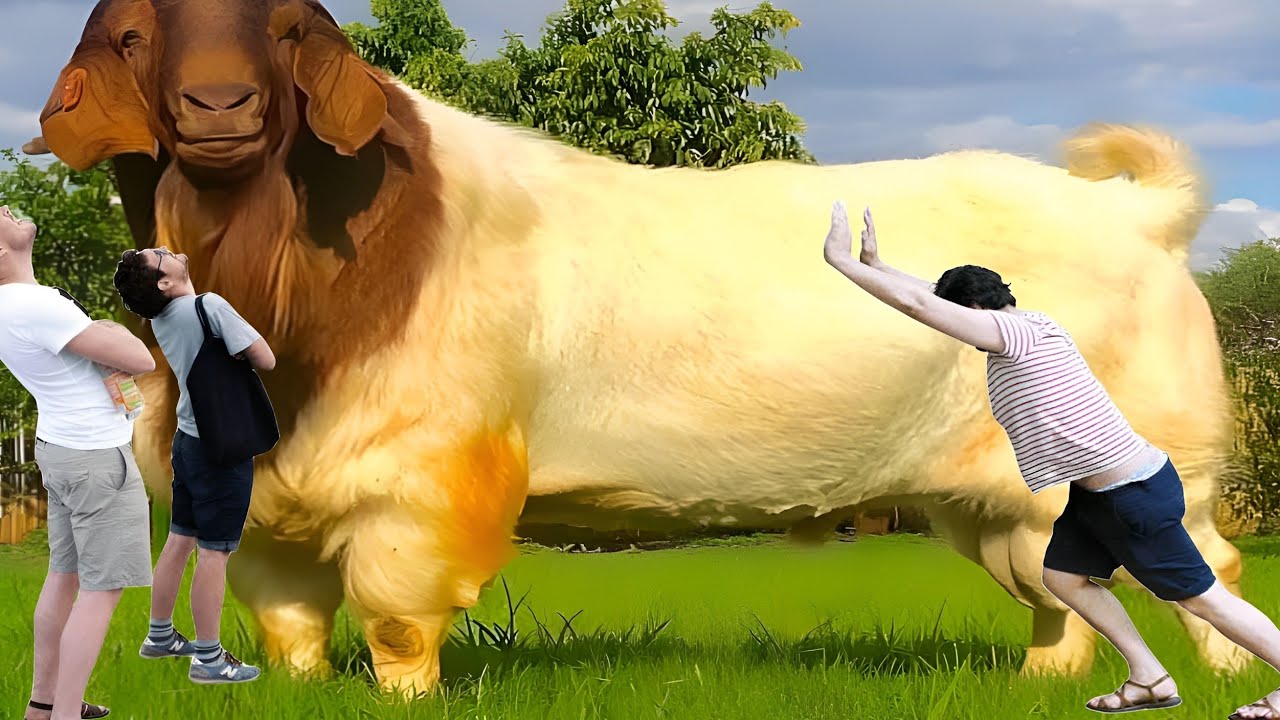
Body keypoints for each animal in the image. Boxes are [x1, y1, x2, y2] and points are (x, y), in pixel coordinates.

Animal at [25, 0, 1251, 696]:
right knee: (1055, 588)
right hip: (996, 499)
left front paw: (406, 695)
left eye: (284, 36)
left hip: (1160, 459)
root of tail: (1131, 210)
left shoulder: (425, 475)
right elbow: (286, 619)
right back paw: (1040, 680)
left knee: (1207, 566)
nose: (218, 104)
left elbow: (396, 609)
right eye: (129, 33)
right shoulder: (271, 496)